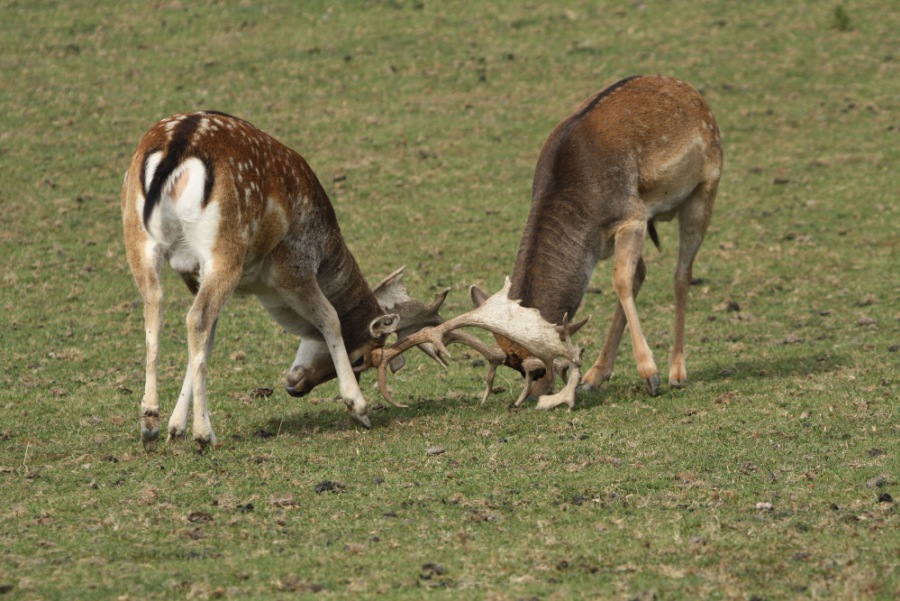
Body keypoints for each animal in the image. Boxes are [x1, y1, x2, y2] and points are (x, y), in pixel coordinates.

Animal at [121, 110, 445, 450]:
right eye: (360, 360)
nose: (296, 389)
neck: (325, 249)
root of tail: (178, 145)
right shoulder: (294, 268)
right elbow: (330, 317)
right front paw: (359, 407)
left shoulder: (195, 276)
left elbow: (208, 343)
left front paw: (175, 427)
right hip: (224, 250)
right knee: (196, 318)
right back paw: (204, 434)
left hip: (138, 238)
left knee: (155, 309)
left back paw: (150, 423)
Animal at [375, 75, 723, 409]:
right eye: (515, 369)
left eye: (540, 368)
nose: (528, 398)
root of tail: (692, 93)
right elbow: (630, 278)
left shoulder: (632, 216)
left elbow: (621, 282)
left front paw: (650, 375)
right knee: (644, 273)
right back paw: (596, 375)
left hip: (705, 188)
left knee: (681, 273)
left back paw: (676, 372)